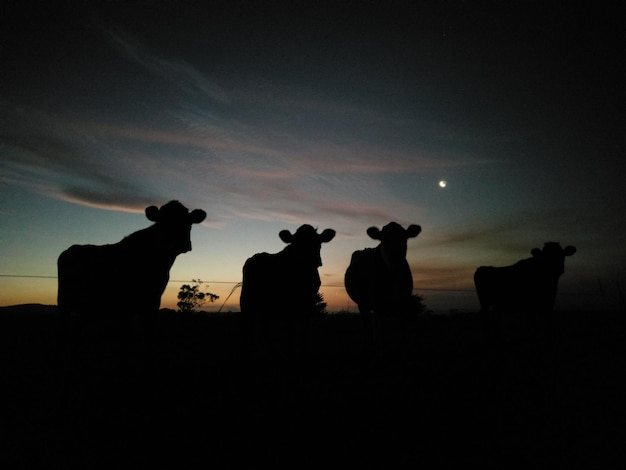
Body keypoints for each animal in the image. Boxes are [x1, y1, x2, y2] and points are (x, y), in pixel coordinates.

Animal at [58, 200, 206, 358]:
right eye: (163, 221)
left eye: (189, 222)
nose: (182, 242)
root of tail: (70, 250)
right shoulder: (125, 305)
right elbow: (127, 338)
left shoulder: (153, 303)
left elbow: (149, 336)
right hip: (64, 303)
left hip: (86, 307)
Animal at [240, 224, 336, 360]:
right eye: (296, 244)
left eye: (318, 243)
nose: (314, 260)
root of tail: (255, 256)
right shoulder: (289, 304)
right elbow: (291, 330)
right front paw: (290, 352)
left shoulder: (309, 302)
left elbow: (304, 329)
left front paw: (302, 352)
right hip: (246, 299)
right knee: (247, 324)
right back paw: (248, 352)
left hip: (266, 304)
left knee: (263, 324)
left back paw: (273, 352)